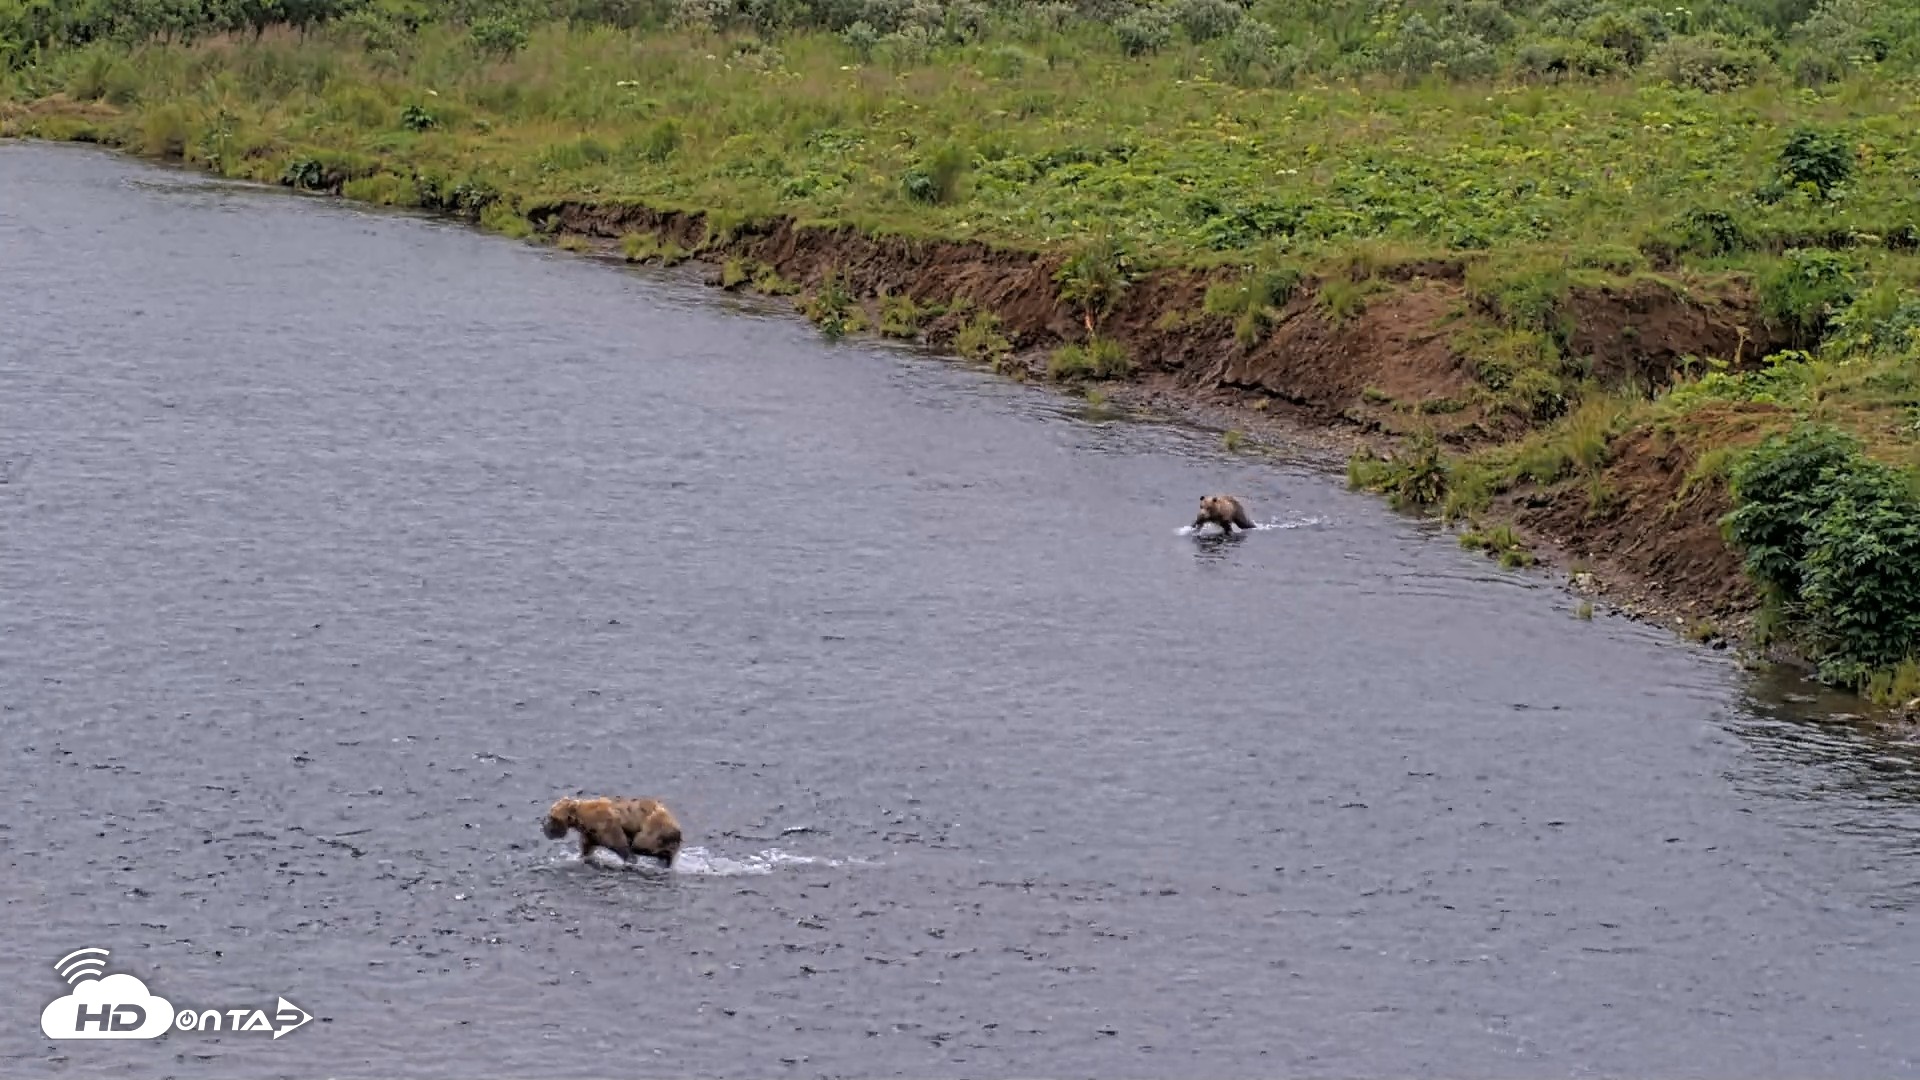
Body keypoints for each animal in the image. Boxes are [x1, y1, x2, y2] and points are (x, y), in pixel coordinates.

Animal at [543, 795, 683, 868]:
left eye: (552, 817)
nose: (545, 829)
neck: (582, 819)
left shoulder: (607, 826)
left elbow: (622, 846)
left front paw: (630, 860)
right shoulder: (590, 834)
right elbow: (586, 850)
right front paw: (578, 857)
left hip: (654, 826)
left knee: (641, 844)